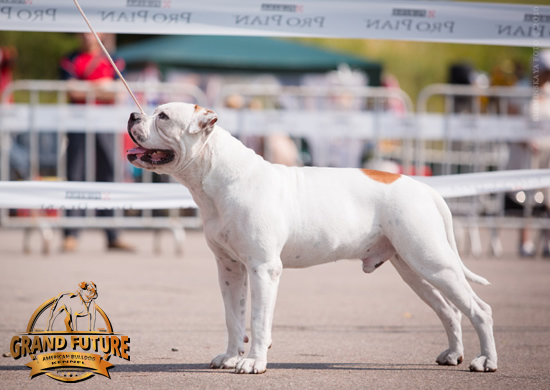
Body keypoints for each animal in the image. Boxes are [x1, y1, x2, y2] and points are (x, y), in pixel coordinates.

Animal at [127, 102, 498, 374]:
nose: (132, 115)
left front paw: (254, 362)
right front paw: (231, 356)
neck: (217, 175)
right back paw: (452, 355)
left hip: (432, 262)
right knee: (450, 311)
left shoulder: (263, 269)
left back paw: (486, 362)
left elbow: (258, 320)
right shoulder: (230, 269)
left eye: (163, 116)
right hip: (412, 268)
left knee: (479, 309)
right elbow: (234, 317)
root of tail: (425, 188)